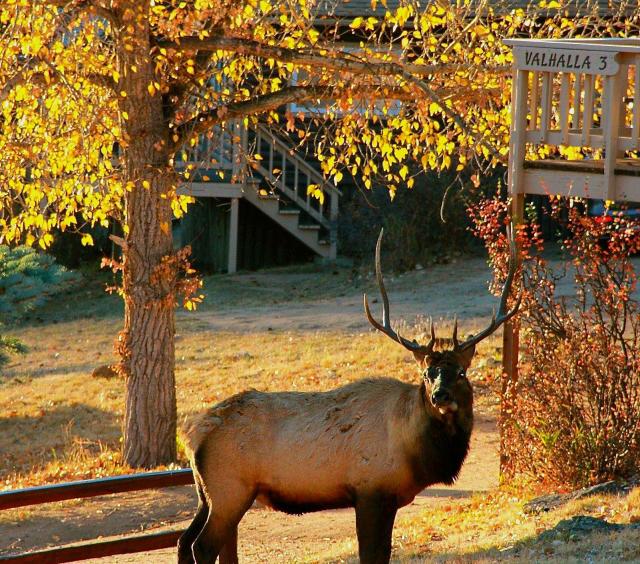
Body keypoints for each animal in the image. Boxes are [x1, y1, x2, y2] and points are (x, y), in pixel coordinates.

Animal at [178, 226, 521, 564]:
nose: (440, 396)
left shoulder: (387, 497)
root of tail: (193, 433)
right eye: (426, 376)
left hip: (207, 494)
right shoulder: (370, 491)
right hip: (229, 490)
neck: (415, 450)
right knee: (202, 546)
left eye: (461, 373)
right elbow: (370, 554)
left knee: (184, 541)